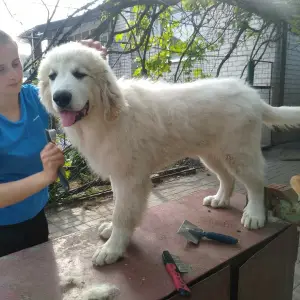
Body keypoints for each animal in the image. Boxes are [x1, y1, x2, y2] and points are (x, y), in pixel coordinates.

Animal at [38, 41, 300, 268]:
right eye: (52, 76)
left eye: (79, 74)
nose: (60, 97)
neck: (104, 116)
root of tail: (252, 95)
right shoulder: (118, 173)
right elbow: (119, 208)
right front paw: (112, 233)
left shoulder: (130, 178)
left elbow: (123, 214)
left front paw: (113, 248)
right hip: (212, 154)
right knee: (227, 179)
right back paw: (220, 200)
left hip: (238, 151)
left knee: (256, 183)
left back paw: (254, 215)